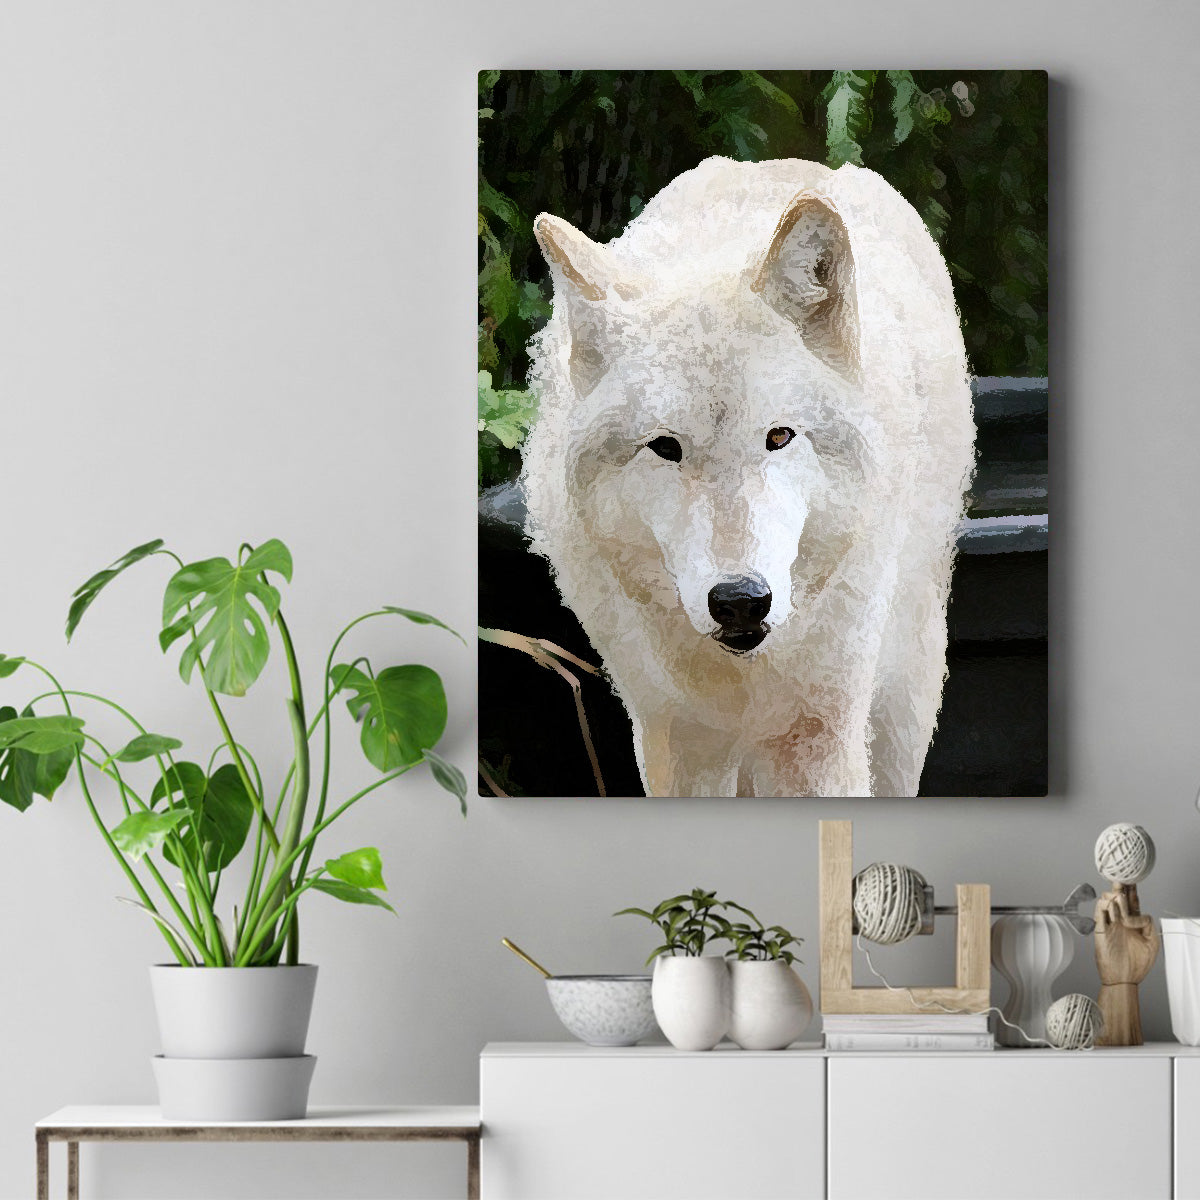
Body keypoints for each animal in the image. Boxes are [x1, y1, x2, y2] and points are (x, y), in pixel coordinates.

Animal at [520, 156, 975, 797]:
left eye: (778, 437)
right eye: (665, 447)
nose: (740, 602)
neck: (741, 679)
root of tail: (789, 162)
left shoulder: (816, 733)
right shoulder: (678, 737)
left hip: (904, 693)